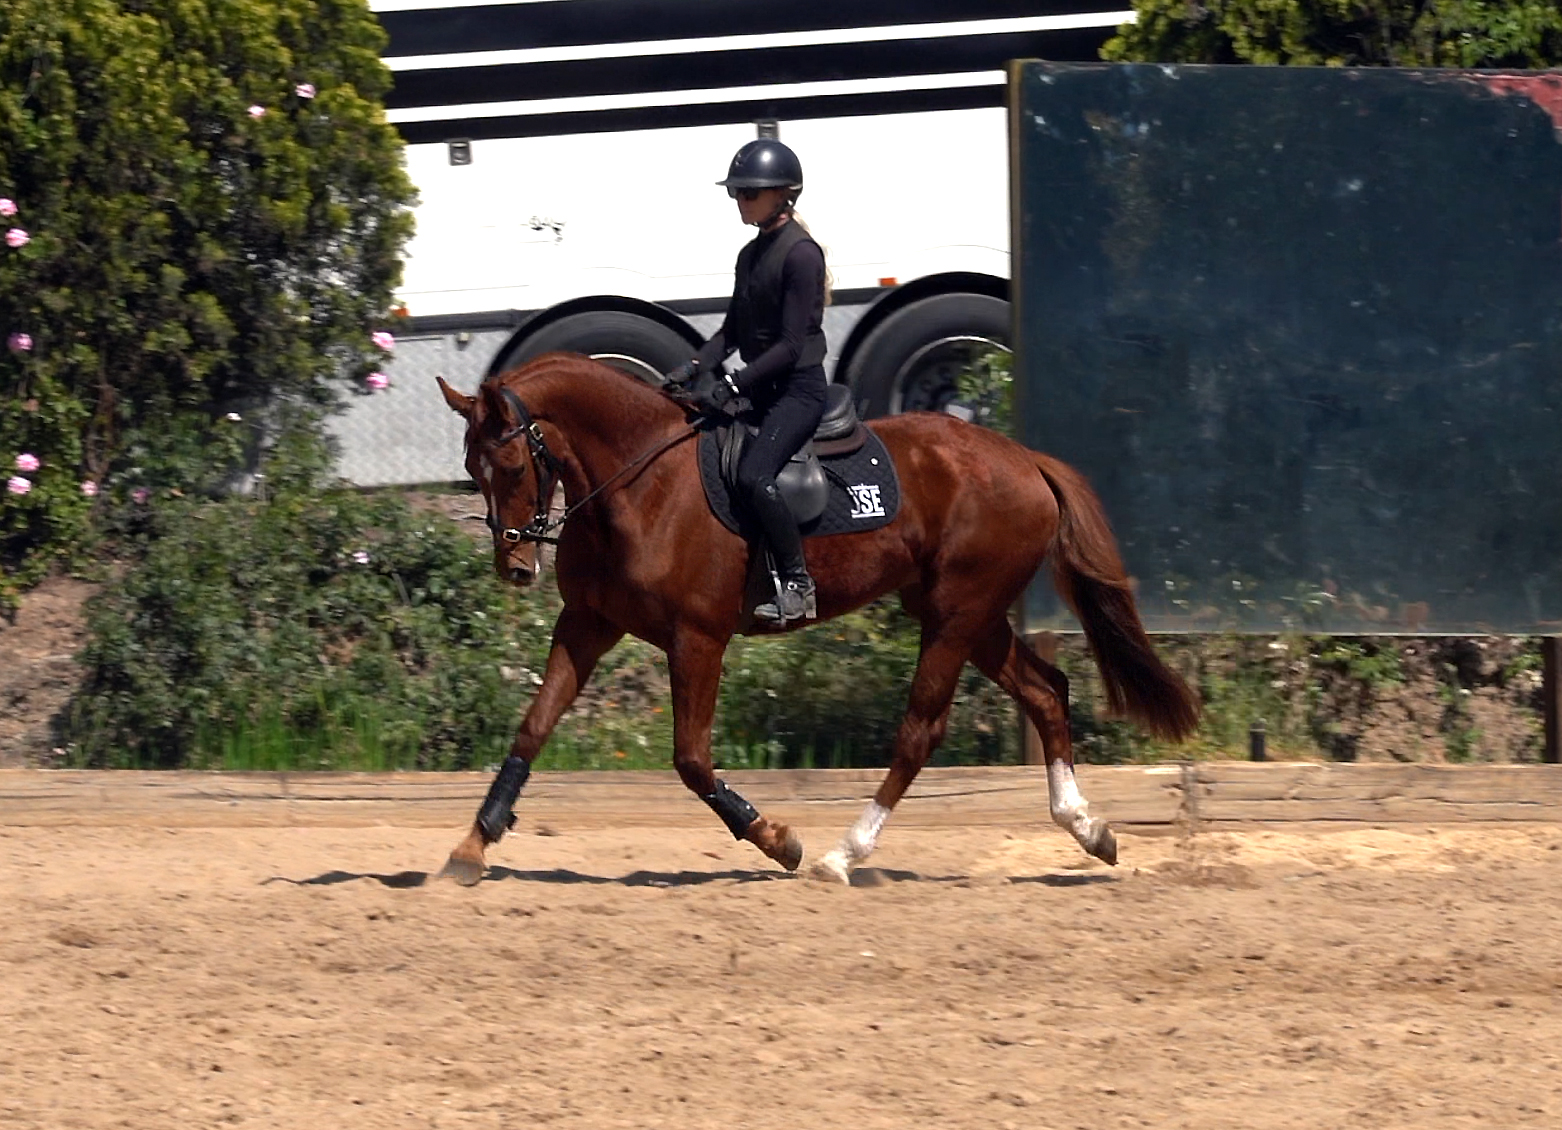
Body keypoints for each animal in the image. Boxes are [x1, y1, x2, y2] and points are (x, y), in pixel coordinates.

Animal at [434, 353, 1198, 885]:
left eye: (510, 462)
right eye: (472, 468)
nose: (516, 567)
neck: (638, 482)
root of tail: (1025, 459)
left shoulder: (697, 639)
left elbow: (690, 760)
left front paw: (780, 841)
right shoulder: (587, 624)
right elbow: (533, 728)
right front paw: (472, 844)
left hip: (956, 617)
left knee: (920, 731)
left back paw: (842, 855)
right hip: (970, 617)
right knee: (1045, 691)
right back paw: (1087, 828)